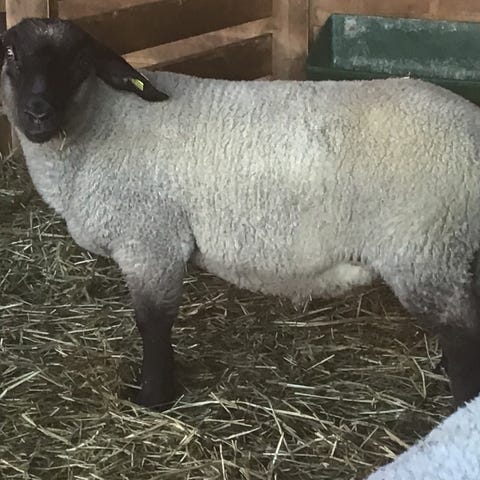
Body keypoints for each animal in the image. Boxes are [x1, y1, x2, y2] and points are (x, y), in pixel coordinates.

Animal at [2, 17, 480, 410]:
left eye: (81, 61)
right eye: (11, 56)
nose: (37, 113)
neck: (101, 121)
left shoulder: (151, 240)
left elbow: (153, 324)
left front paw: (154, 398)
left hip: (424, 248)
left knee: (463, 339)